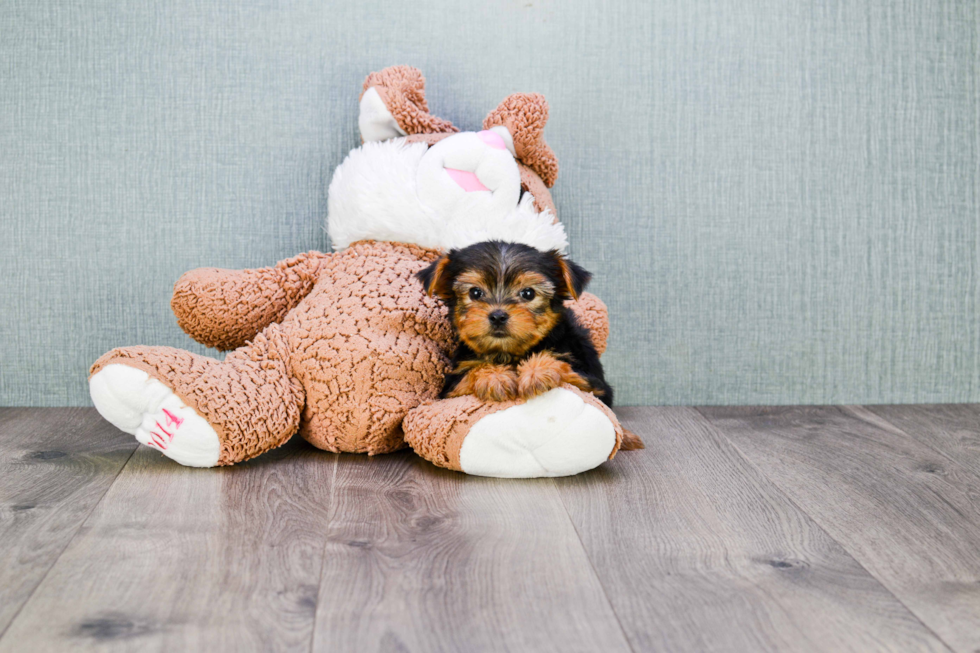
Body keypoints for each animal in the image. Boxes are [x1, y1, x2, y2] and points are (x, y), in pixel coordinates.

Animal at [416, 239, 612, 408]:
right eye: (475, 292)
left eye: (528, 293)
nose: (498, 316)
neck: (507, 353)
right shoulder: (449, 390)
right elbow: (470, 374)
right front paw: (493, 377)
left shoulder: (594, 384)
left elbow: (565, 367)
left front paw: (536, 371)